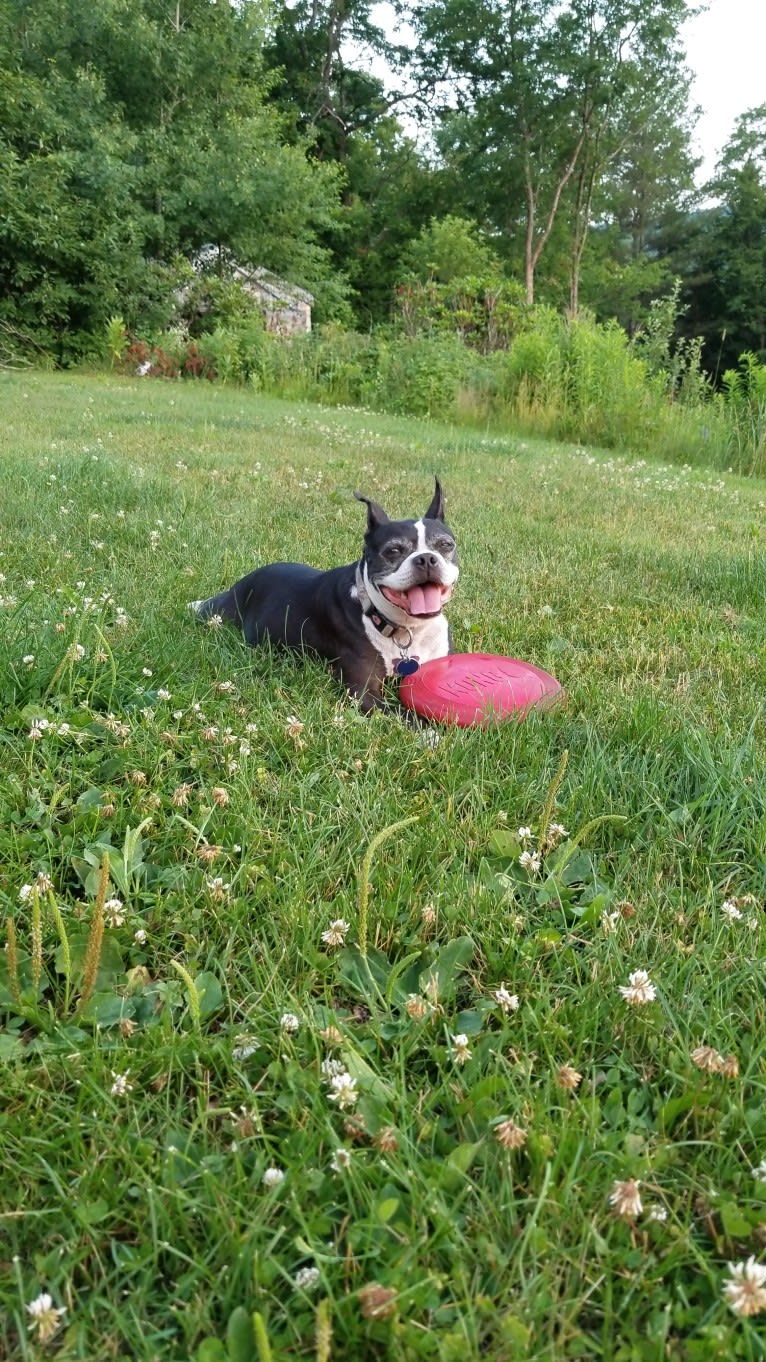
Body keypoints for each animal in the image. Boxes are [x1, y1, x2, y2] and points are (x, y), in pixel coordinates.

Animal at [188, 482, 455, 713]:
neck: (406, 629)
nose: (426, 559)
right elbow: (406, 716)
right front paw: (430, 733)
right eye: (393, 550)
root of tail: (242, 582)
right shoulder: (362, 693)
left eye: (446, 545)